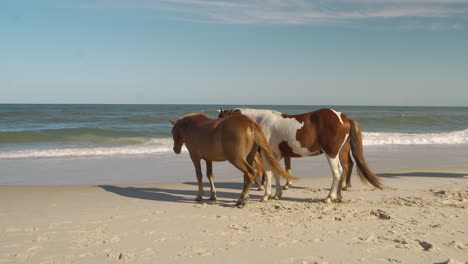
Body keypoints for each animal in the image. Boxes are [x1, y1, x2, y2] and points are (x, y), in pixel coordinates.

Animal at [219, 108, 384, 203]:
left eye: (221, 117)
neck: (261, 121)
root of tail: (343, 117)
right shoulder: (275, 155)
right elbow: (277, 173)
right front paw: (277, 194)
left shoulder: (267, 155)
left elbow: (269, 173)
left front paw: (266, 196)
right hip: (340, 153)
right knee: (343, 171)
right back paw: (338, 196)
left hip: (331, 154)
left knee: (337, 173)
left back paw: (329, 197)